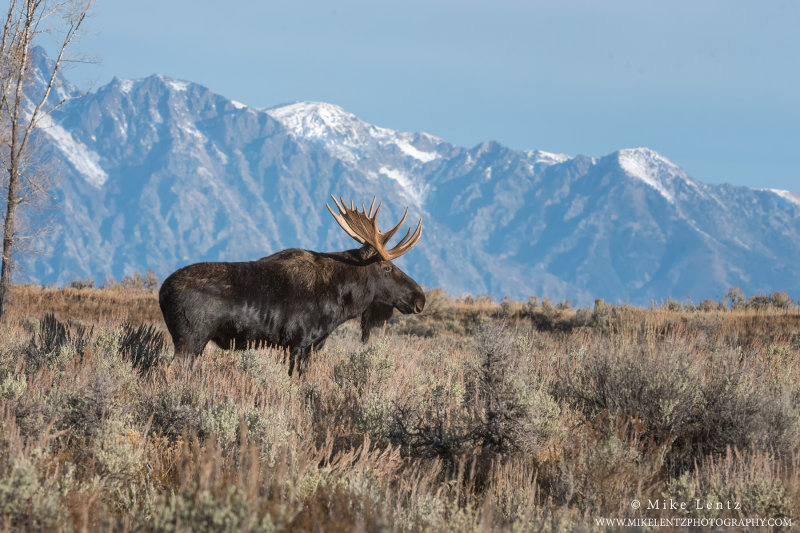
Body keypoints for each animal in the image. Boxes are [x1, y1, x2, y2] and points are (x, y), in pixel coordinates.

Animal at [159, 195, 428, 374]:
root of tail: (162, 291)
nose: (419, 299)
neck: (342, 298)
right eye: (387, 268)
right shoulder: (300, 343)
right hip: (190, 339)